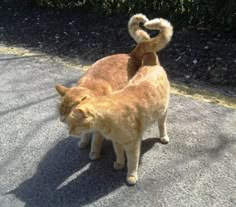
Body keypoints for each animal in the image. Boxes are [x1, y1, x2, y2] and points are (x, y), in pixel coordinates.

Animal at [56, 14, 172, 160]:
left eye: (68, 111)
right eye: (61, 111)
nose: (62, 120)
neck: (90, 87)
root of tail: (131, 54)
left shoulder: (99, 127)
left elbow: (96, 140)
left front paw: (94, 153)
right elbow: (85, 133)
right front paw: (83, 141)